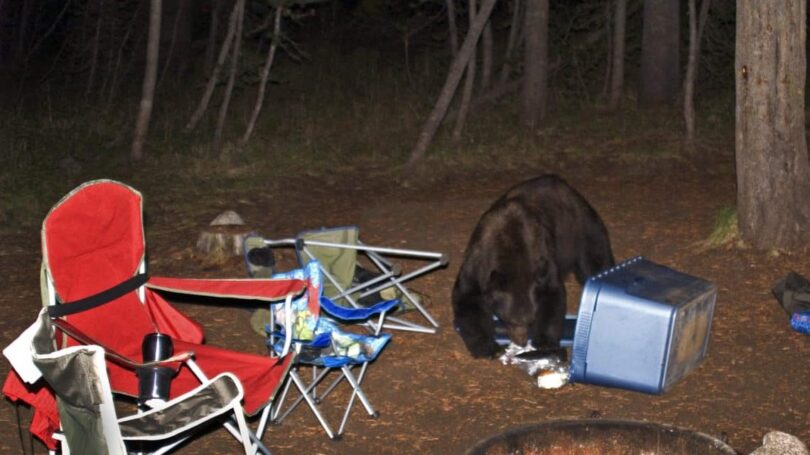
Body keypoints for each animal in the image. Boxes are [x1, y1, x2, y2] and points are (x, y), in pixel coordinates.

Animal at [448, 176, 612, 358]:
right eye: (510, 320)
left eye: (530, 320)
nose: (521, 342)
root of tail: (566, 186)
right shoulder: (477, 262)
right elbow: (468, 298)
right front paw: (488, 347)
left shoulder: (542, 258)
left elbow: (552, 294)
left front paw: (544, 342)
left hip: (583, 229)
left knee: (595, 262)